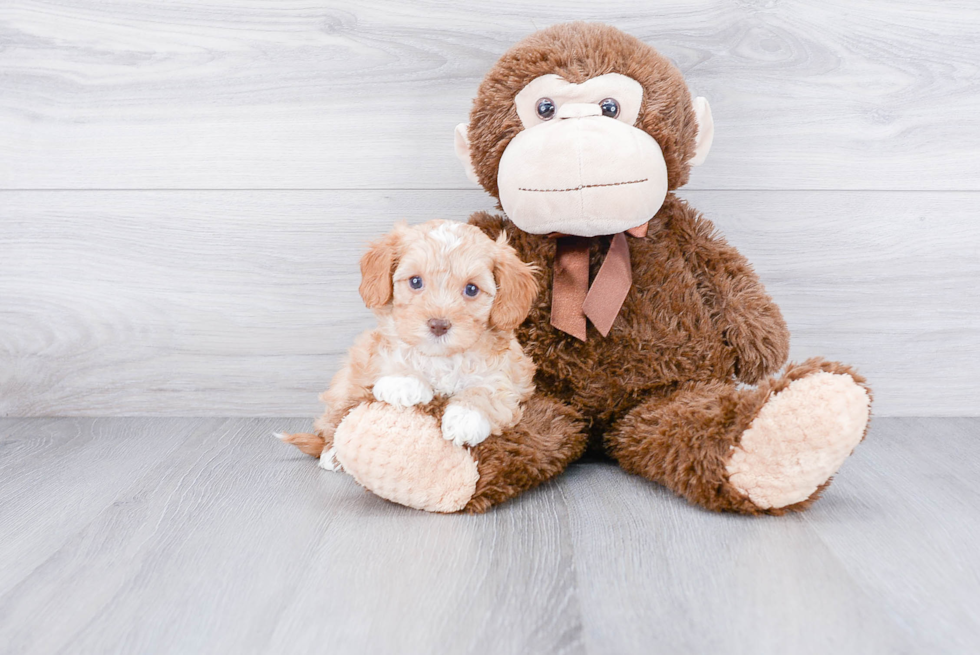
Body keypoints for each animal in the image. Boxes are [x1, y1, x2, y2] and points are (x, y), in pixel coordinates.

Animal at [276, 220, 536, 472]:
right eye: (415, 282)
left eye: (471, 289)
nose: (438, 324)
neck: (441, 358)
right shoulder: (375, 353)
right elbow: (395, 357)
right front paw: (404, 382)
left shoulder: (511, 375)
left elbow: (490, 388)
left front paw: (466, 416)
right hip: (346, 385)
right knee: (334, 421)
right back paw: (332, 454)